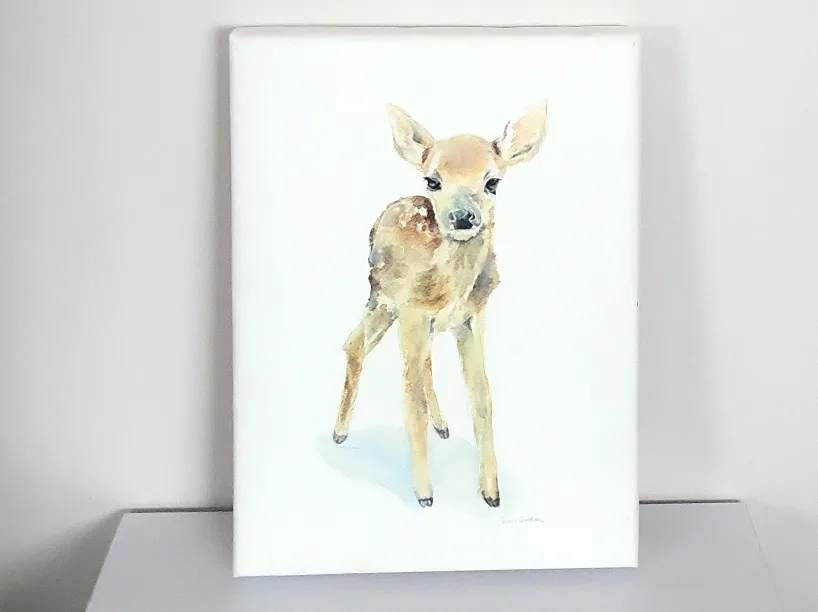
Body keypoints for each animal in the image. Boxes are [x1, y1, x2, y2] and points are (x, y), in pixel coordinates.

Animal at [331, 101, 549, 508]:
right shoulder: (412, 313)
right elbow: (410, 400)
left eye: (493, 182)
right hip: (383, 298)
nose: (463, 217)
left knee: (415, 360)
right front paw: (425, 495)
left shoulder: (472, 316)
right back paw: (339, 432)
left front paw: (491, 493)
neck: (450, 288)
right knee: (354, 345)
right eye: (433, 181)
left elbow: (482, 396)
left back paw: (442, 425)